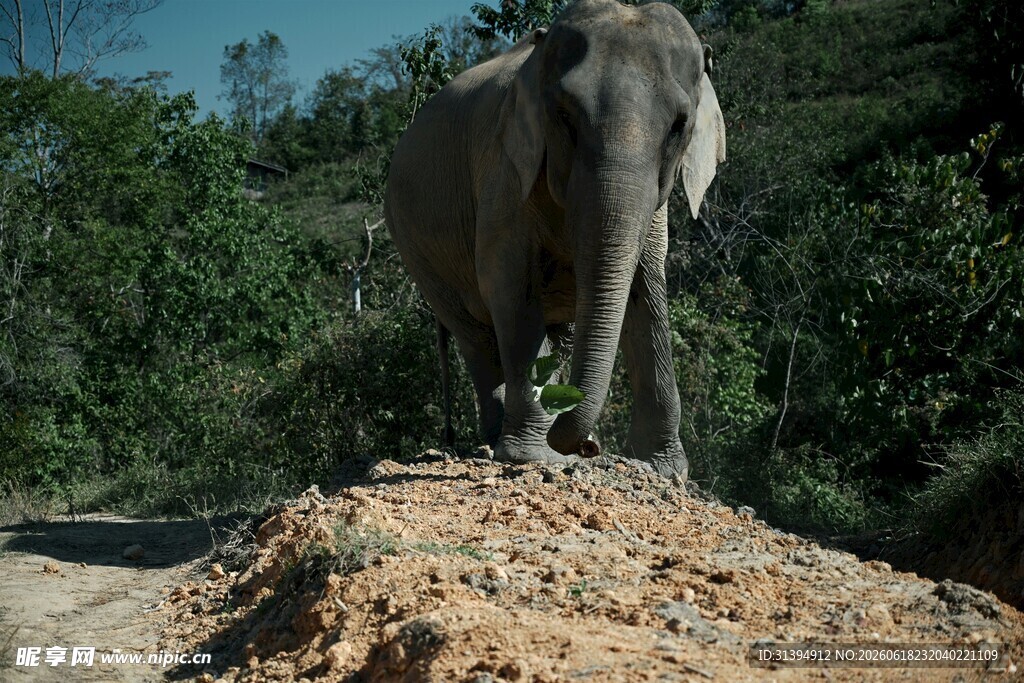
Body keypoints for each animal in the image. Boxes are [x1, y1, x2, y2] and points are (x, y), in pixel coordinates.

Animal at [383, 0, 726, 479]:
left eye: (678, 126)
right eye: (564, 118)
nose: (588, 447)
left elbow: (646, 288)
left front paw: (663, 470)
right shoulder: (508, 170)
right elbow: (508, 284)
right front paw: (535, 457)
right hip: (416, 248)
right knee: (476, 338)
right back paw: (495, 440)